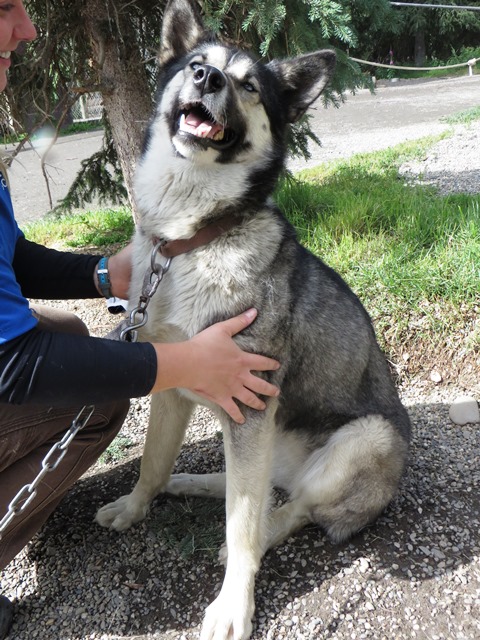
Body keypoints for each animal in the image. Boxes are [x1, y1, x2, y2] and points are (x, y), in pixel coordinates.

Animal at [96, 2, 408, 636]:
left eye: (248, 86)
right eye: (196, 63)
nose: (208, 79)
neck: (190, 239)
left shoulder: (252, 405)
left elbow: (241, 527)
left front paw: (233, 605)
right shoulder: (172, 385)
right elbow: (152, 464)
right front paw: (137, 506)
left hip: (365, 439)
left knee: (293, 508)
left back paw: (266, 529)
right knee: (257, 489)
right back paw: (194, 483)